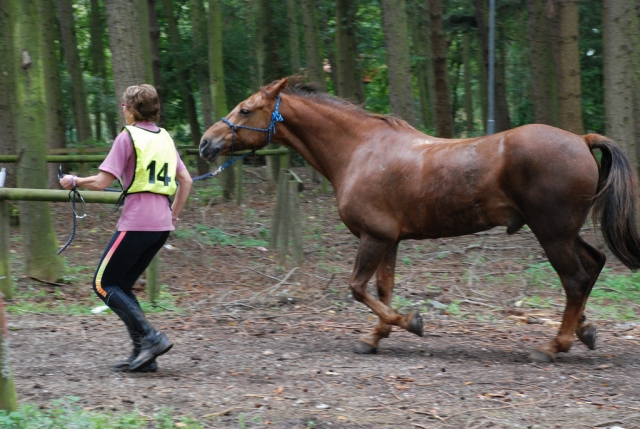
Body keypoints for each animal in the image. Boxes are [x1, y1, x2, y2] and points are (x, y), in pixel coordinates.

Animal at [199, 78, 640, 362]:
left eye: (246, 108)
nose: (206, 142)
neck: (359, 150)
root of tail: (581, 139)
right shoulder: (389, 239)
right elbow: (382, 288)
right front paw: (376, 337)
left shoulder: (373, 236)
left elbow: (358, 288)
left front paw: (411, 322)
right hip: (564, 231)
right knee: (593, 266)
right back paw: (584, 331)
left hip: (551, 232)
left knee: (575, 279)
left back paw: (554, 346)